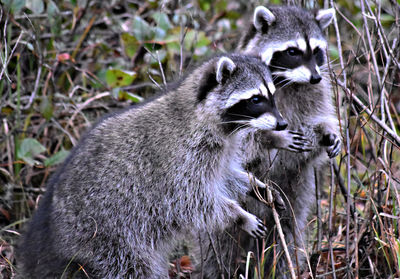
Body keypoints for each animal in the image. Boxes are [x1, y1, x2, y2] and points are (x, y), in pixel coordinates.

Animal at [16, 55, 312, 279]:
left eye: (272, 95)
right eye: (255, 99)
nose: (282, 124)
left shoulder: (218, 152)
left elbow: (225, 176)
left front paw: (253, 185)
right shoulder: (179, 162)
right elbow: (194, 201)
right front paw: (238, 215)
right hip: (107, 240)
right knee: (130, 269)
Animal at [195, 4, 342, 279]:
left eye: (317, 51)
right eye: (293, 51)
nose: (315, 77)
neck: (290, 81)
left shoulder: (316, 91)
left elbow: (317, 122)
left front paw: (326, 132)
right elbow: (247, 142)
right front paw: (274, 138)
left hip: (297, 189)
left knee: (288, 229)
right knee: (221, 241)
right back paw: (218, 269)